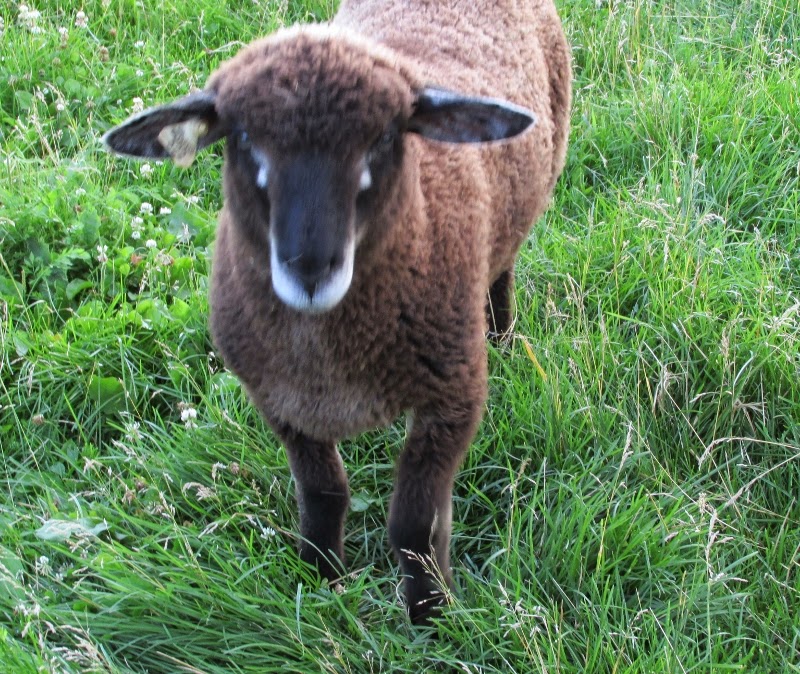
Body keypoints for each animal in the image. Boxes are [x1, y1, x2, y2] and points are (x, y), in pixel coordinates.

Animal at [103, 0, 571, 625]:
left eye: (384, 137)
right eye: (243, 137)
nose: (310, 267)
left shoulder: (453, 398)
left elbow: (415, 526)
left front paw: (432, 615)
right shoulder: (280, 400)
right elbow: (324, 495)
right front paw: (320, 577)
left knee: (504, 269)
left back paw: (503, 336)